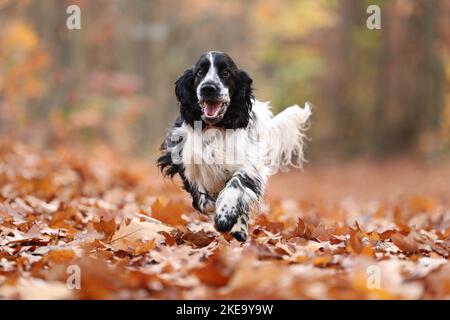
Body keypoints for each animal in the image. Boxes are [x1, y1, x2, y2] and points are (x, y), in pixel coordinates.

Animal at [157, 50, 310, 240]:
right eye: (200, 72)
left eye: (226, 73)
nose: (208, 88)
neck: (216, 127)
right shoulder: (186, 162)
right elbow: (202, 198)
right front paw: (215, 208)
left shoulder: (249, 165)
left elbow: (237, 184)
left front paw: (225, 214)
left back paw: (239, 230)